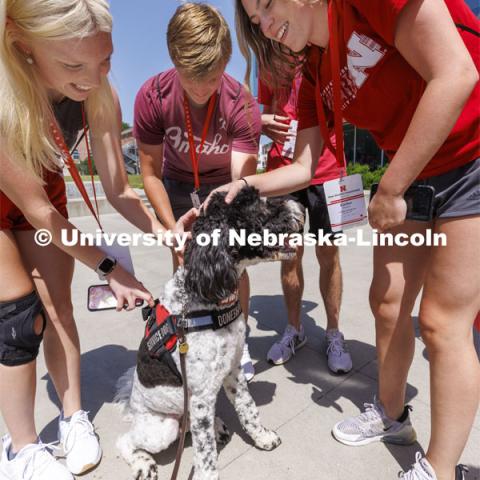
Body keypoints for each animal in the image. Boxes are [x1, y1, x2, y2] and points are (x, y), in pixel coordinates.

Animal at [115, 188, 304, 480]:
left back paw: (216, 426)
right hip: (162, 428)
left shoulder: (234, 372)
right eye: (257, 207)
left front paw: (262, 437)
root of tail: (132, 408)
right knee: (126, 440)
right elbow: (205, 455)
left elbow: (248, 409)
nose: (300, 204)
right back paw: (143, 463)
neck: (205, 298)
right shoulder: (202, 398)